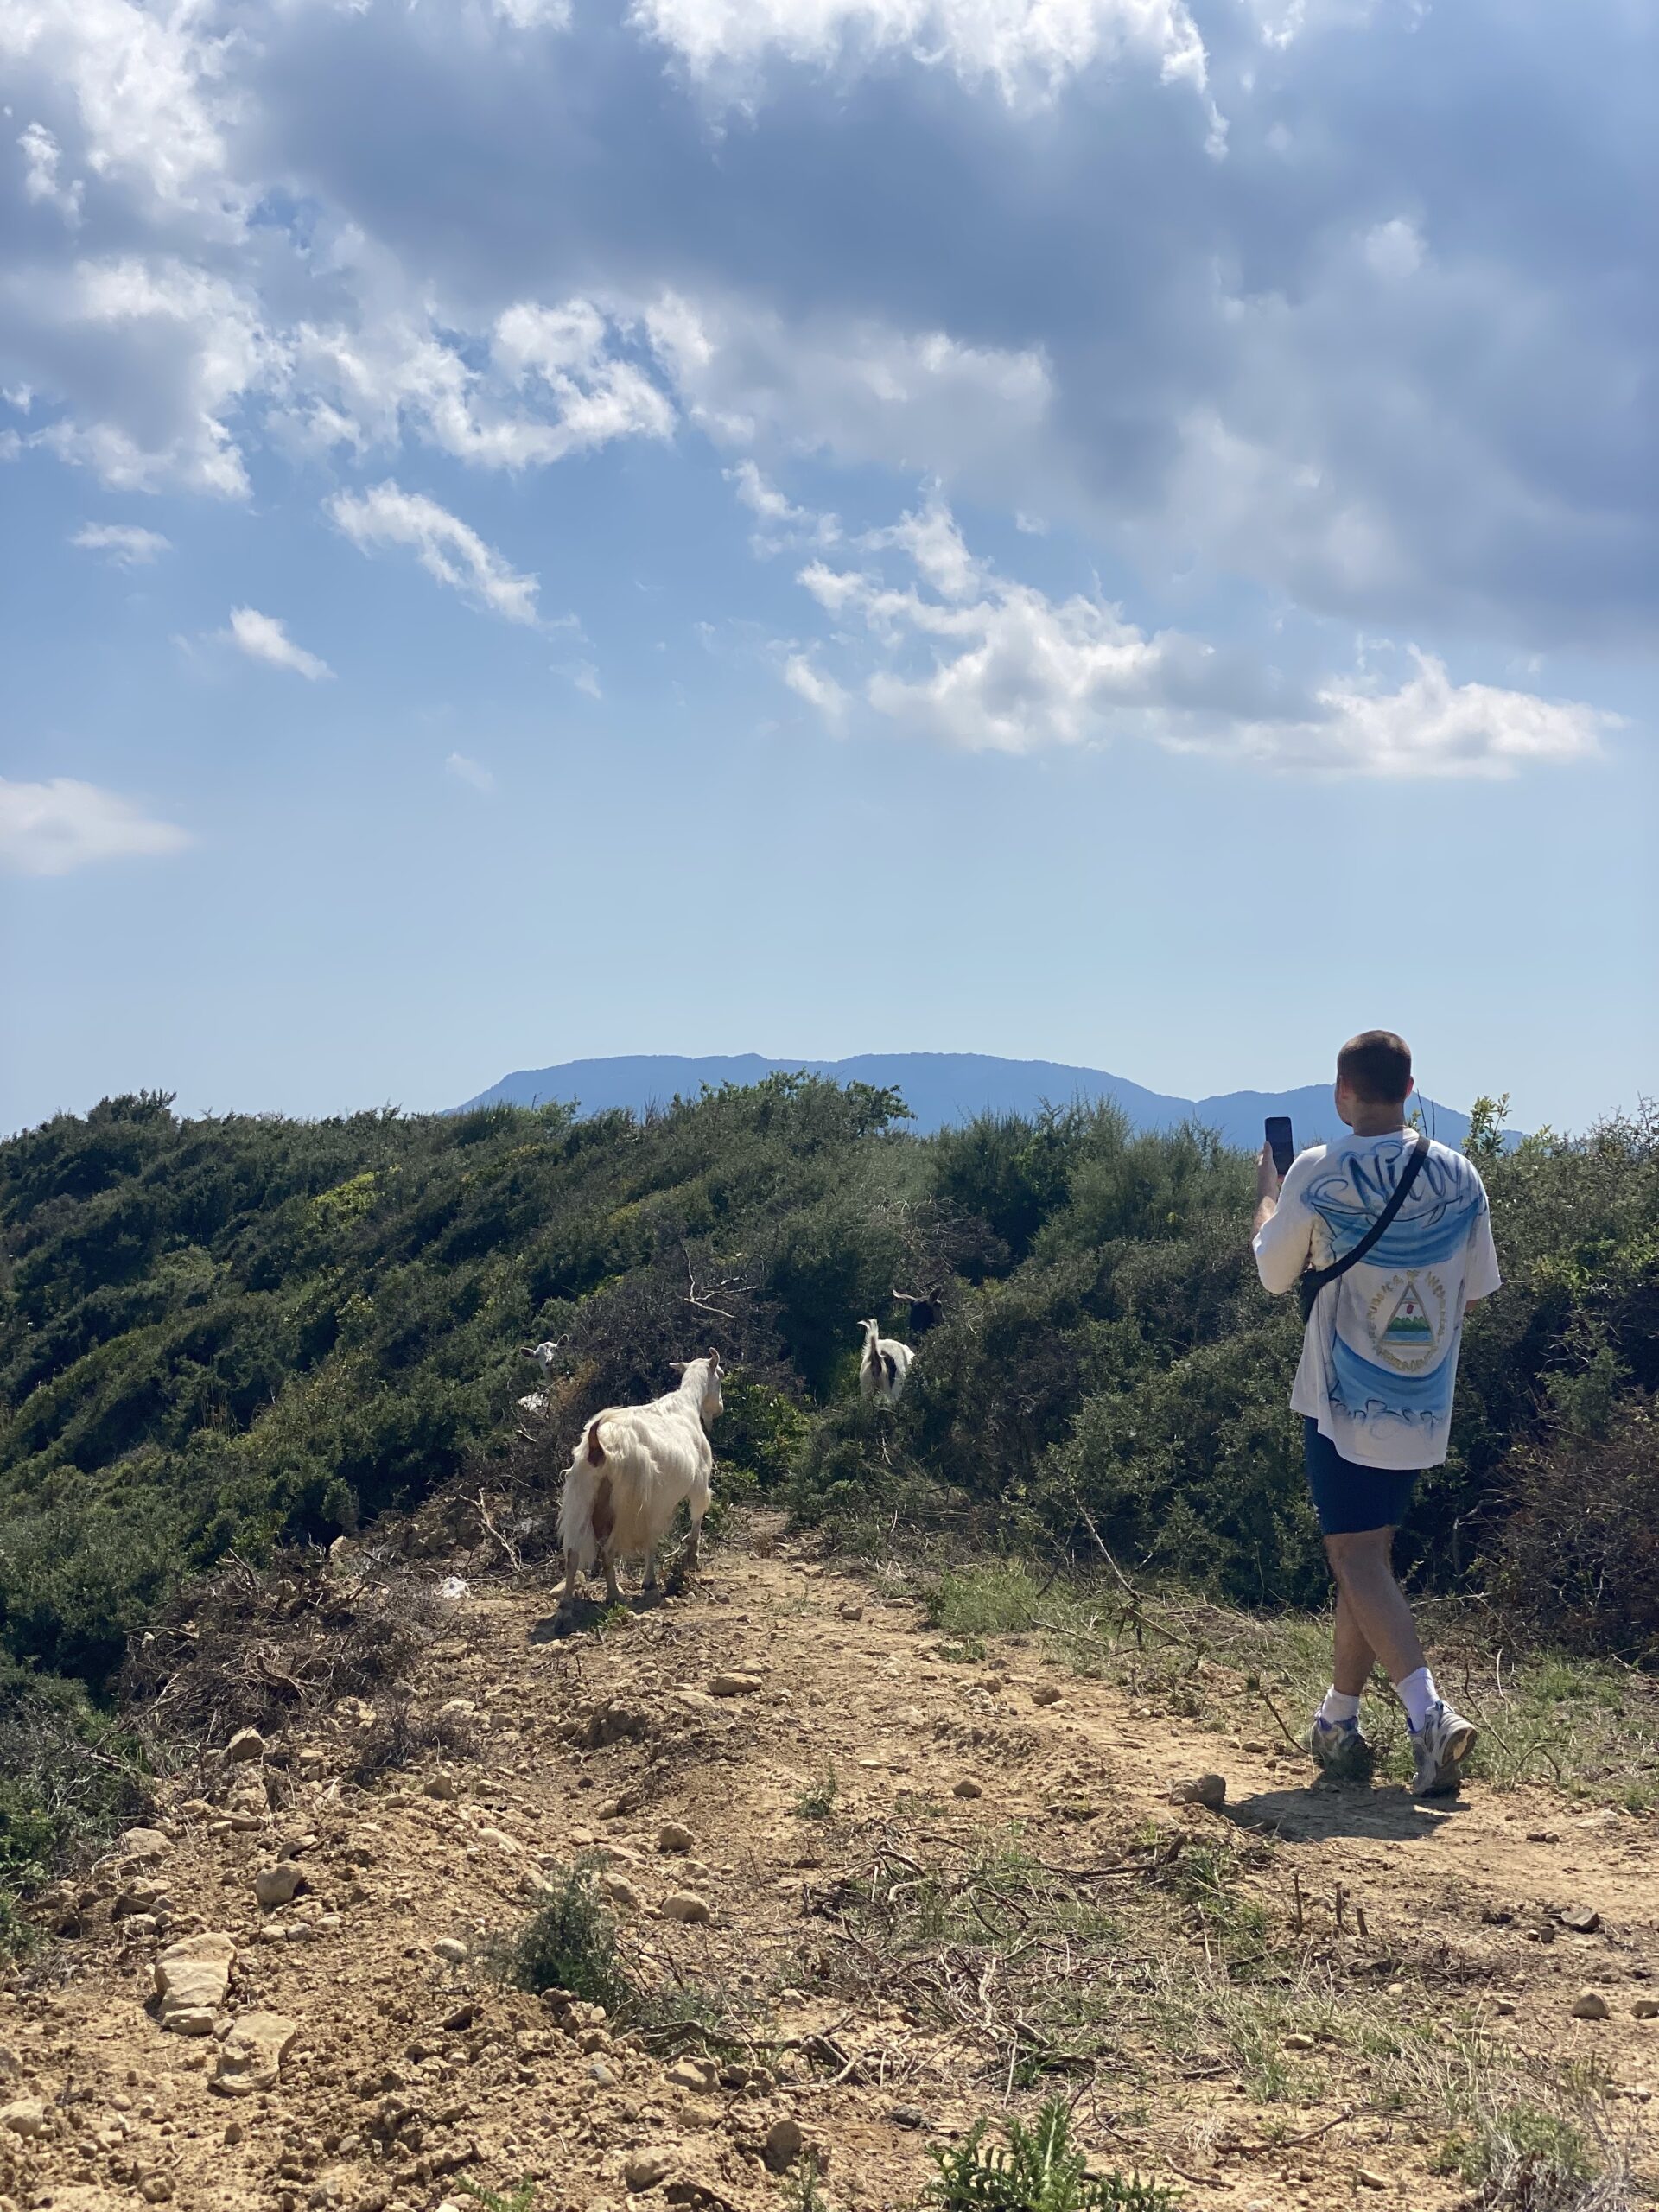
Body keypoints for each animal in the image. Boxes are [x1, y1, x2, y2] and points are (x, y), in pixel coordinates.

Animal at [562, 1344, 725, 1610]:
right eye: (720, 1374)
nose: (720, 1408)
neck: (687, 1404)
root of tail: (599, 1447)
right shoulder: (697, 1483)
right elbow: (695, 1517)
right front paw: (689, 1558)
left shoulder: (654, 1506)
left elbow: (651, 1541)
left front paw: (650, 1581)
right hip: (625, 1508)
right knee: (607, 1552)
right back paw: (614, 1595)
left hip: (581, 1497)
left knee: (572, 1553)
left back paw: (566, 1604)